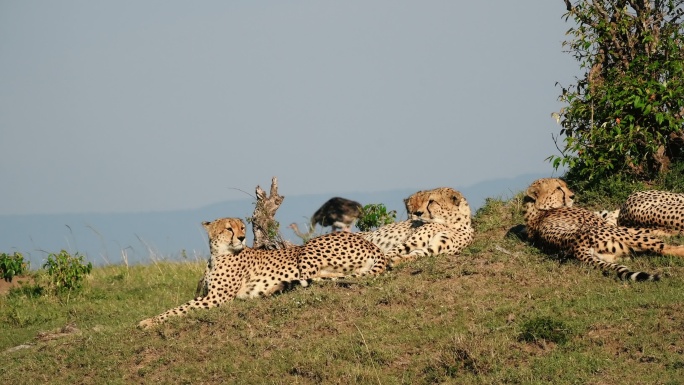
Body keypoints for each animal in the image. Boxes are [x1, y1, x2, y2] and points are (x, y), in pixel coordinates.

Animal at [140, 218, 388, 326]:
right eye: (229, 228)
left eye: (241, 227)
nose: (242, 237)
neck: (218, 254)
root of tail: (371, 244)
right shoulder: (207, 294)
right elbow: (181, 305)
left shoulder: (216, 298)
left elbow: (179, 309)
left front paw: (148, 321)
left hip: (307, 250)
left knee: (316, 277)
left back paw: (278, 286)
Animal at [520, 178, 684, 280]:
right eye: (558, 188)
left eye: (564, 186)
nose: (573, 196)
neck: (538, 211)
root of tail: (575, 247)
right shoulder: (607, 224)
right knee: (664, 248)